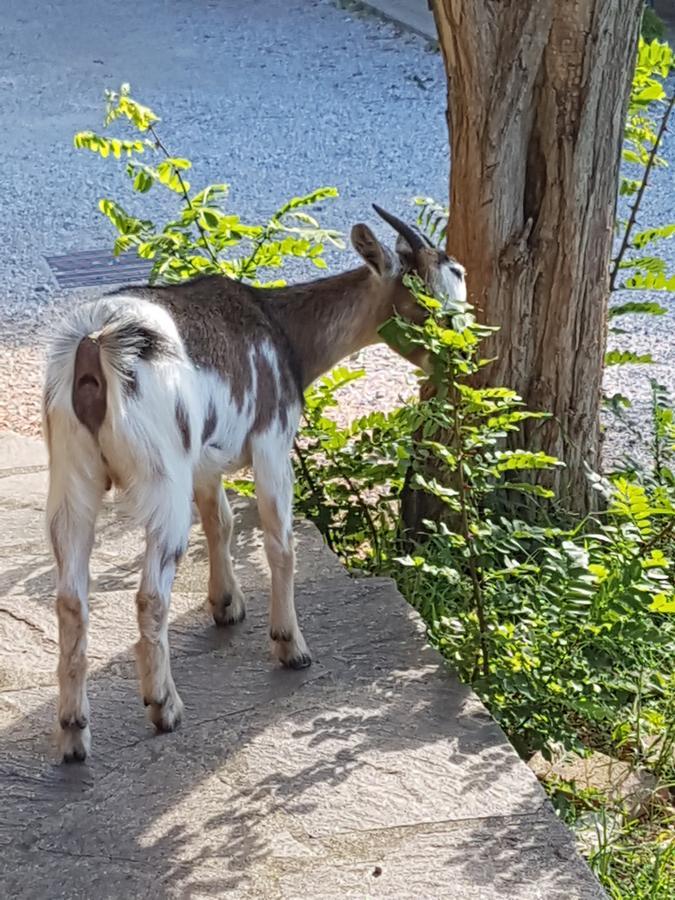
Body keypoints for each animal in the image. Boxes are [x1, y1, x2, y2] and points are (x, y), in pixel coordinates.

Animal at [42, 204, 464, 760]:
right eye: (434, 296)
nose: (463, 361)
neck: (283, 332)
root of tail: (94, 349)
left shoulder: (203, 460)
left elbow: (219, 521)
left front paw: (226, 606)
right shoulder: (271, 443)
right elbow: (279, 542)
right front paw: (290, 646)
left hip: (71, 473)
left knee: (70, 597)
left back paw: (73, 731)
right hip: (160, 476)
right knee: (151, 594)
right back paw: (164, 706)